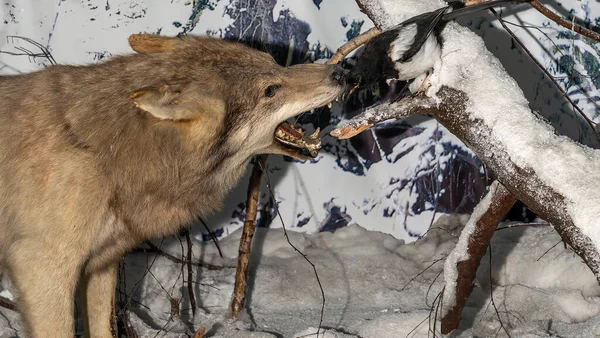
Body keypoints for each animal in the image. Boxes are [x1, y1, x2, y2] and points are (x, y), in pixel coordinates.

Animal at [0, 34, 344, 338]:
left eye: (276, 63)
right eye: (271, 89)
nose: (341, 72)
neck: (106, 151)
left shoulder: (101, 265)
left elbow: (102, 329)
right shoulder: (41, 270)